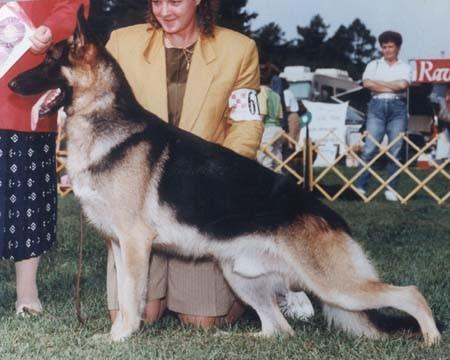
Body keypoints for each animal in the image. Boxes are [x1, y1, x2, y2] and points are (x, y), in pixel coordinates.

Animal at [8, 9, 442, 346]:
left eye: (49, 59)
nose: (10, 83)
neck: (103, 118)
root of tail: (331, 215)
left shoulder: (134, 243)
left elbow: (132, 298)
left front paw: (121, 337)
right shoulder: (119, 244)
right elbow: (128, 296)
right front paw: (118, 333)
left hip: (335, 286)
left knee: (410, 293)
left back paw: (433, 339)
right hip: (242, 277)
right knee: (279, 328)